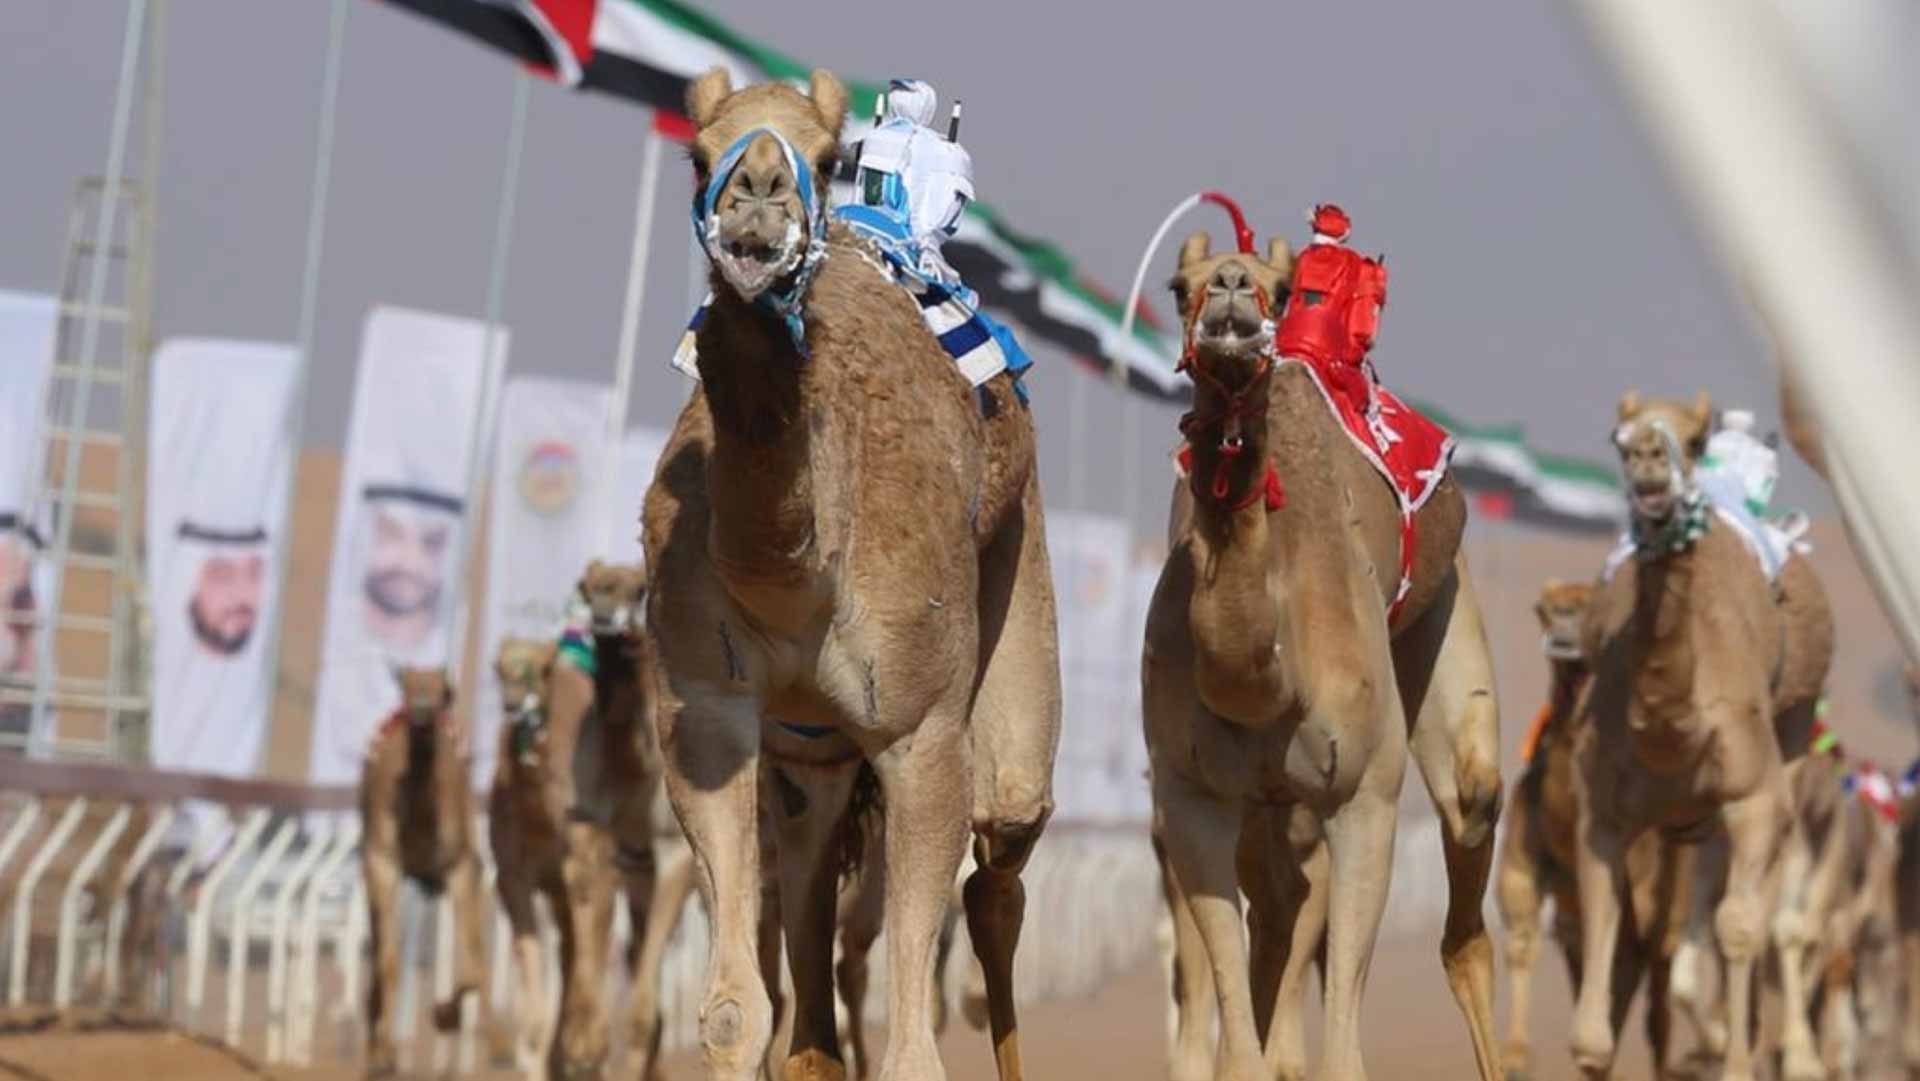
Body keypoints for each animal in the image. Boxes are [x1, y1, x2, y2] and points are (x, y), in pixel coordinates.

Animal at [359, 665, 489, 1078]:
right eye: (405, 684)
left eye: (442, 690)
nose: (418, 712)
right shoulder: (381, 862)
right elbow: (389, 961)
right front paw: (385, 1055)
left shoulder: (461, 866)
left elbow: (474, 962)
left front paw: (444, 1015)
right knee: (383, 954)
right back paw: (376, 1054)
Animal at [641, 67, 1059, 1081]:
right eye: (699, 154)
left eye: (825, 157)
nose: (759, 189)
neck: (802, 563)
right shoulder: (705, 712)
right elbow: (732, 1010)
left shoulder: (923, 734)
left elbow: (913, 1051)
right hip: (808, 750)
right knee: (813, 893)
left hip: (1019, 583)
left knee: (1001, 853)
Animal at [1142, 228, 1503, 1081]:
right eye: (1178, 285)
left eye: (1278, 289)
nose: (1230, 292)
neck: (1270, 673)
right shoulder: (1189, 795)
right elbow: (1238, 1048)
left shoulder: (1365, 795)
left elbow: (1343, 1050)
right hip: (1266, 806)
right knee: (1278, 913)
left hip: (1445, 610)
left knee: (1471, 810)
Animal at [1568, 390, 1832, 1081]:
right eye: (1617, 438)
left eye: (1692, 439)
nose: (1648, 460)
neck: (1670, 730)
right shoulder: (1601, 816)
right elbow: (1592, 1029)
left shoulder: (1756, 797)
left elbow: (1739, 926)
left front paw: (1738, 1060)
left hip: (1793, 737)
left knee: (1762, 910)